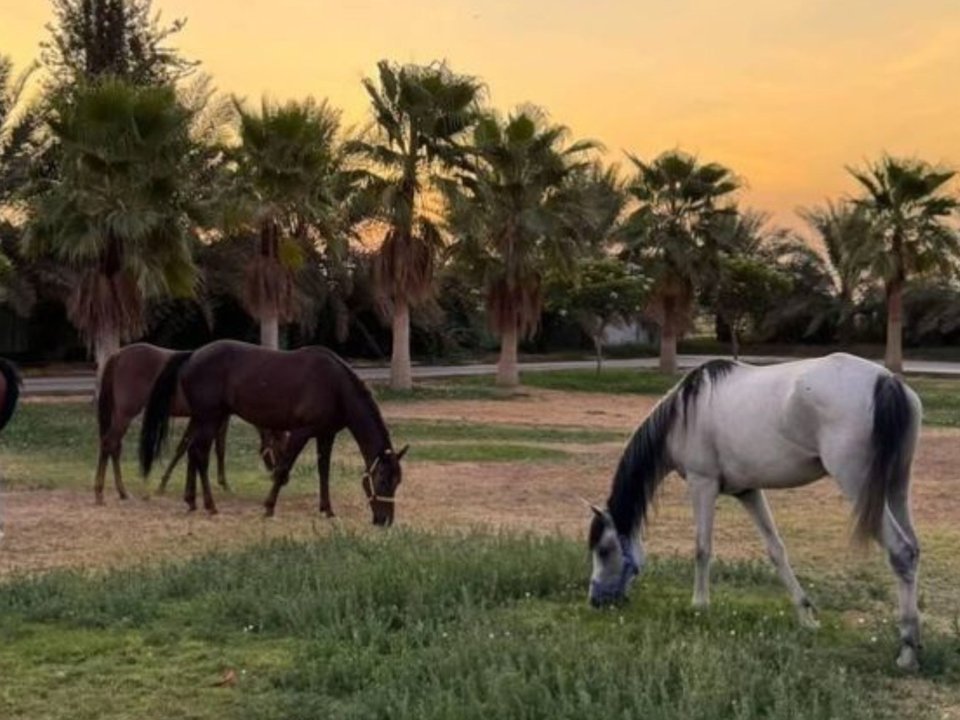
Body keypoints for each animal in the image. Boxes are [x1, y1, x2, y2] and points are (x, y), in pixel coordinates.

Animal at [96, 343, 286, 505]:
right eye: (278, 444)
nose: (278, 476)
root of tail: (118, 355)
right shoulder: (217, 418)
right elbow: (216, 449)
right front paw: (224, 484)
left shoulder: (200, 419)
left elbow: (186, 447)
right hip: (125, 413)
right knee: (109, 443)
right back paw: (101, 494)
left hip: (120, 414)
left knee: (115, 447)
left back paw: (122, 492)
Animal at [138, 340, 408, 524]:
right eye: (383, 480)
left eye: (397, 482)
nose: (384, 521)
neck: (335, 386)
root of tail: (193, 355)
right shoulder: (301, 433)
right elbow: (283, 468)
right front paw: (268, 507)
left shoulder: (325, 435)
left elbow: (324, 472)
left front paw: (327, 510)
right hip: (209, 417)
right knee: (200, 454)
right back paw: (210, 505)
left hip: (206, 418)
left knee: (193, 452)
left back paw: (191, 501)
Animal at [586, 354, 923, 671]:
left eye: (604, 550)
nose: (595, 601)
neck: (683, 416)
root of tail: (885, 380)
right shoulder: (747, 492)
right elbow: (776, 550)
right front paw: (806, 617)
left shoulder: (702, 483)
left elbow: (702, 548)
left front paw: (699, 605)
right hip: (895, 487)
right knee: (913, 550)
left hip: (858, 483)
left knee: (901, 551)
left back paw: (907, 651)